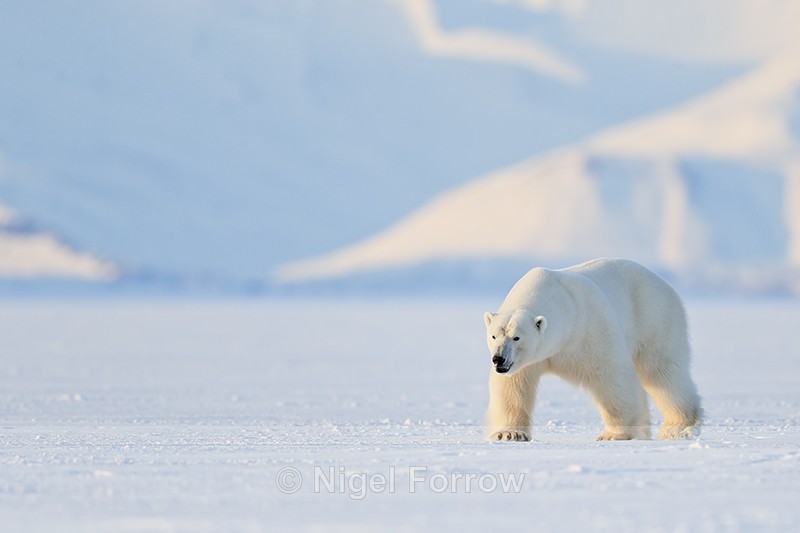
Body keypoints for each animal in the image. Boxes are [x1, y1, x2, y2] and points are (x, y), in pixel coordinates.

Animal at [483, 258, 702, 442]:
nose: (499, 359)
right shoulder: (527, 361)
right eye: (494, 336)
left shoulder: (589, 328)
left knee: (661, 372)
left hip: (654, 317)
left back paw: (678, 428)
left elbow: (610, 375)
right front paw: (509, 433)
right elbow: (513, 386)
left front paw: (614, 435)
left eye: (516, 337)